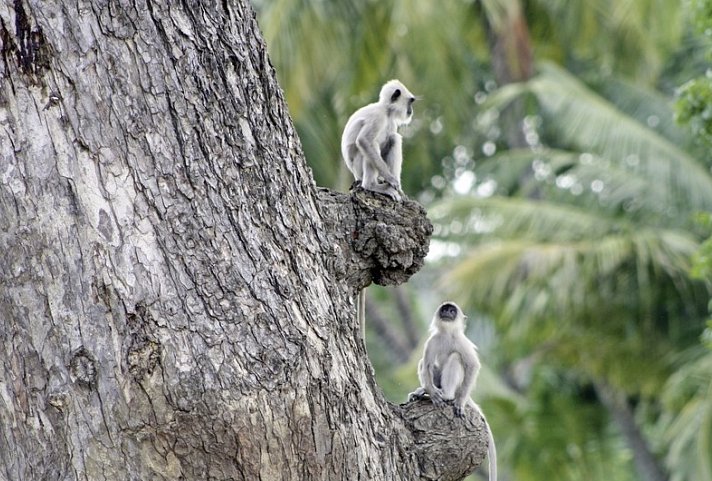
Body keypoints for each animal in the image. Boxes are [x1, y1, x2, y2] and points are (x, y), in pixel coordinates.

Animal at [408, 300, 498, 480]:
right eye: (445, 309)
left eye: (452, 311)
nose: (447, 313)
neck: (447, 334)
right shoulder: (432, 341)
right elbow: (426, 365)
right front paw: (431, 394)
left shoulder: (461, 341)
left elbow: (473, 365)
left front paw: (460, 403)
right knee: (425, 363)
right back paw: (426, 392)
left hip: (458, 386)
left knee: (456, 357)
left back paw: (448, 396)